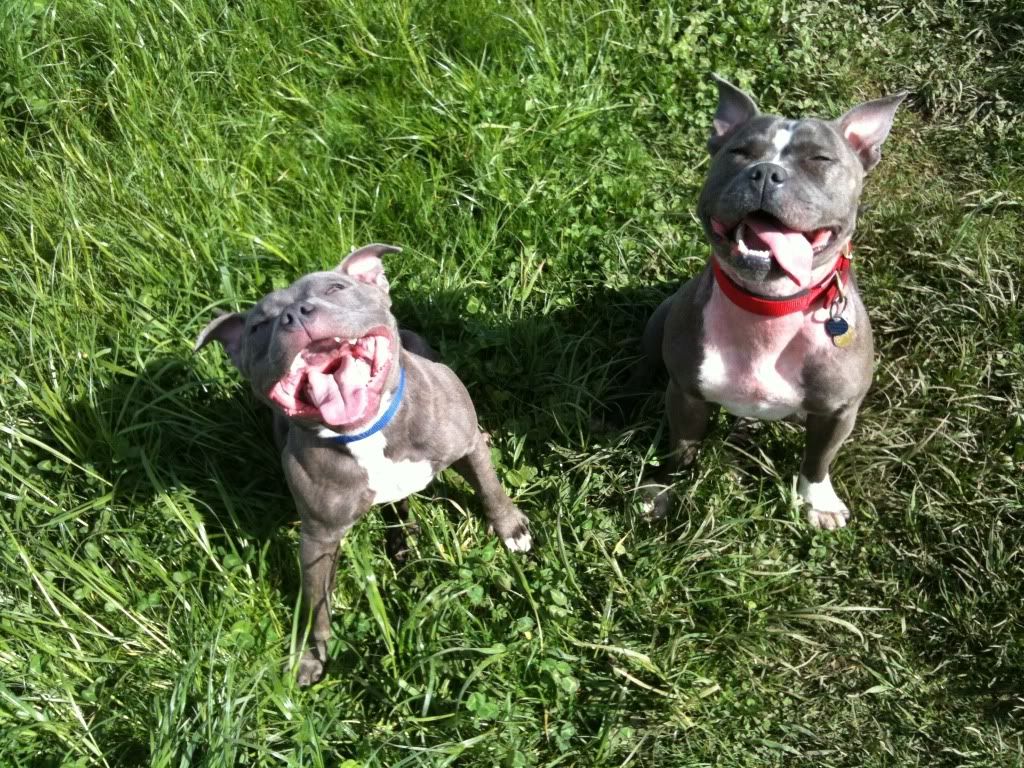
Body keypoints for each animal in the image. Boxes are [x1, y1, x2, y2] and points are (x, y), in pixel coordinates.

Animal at [197, 243, 536, 688]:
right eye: (258, 327)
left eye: (336, 288)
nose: (295, 314)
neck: (367, 432)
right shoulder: (318, 537)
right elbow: (315, 604)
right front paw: (310, 655)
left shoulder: (466, 445)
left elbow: (490, 487)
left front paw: (512, 529)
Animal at [643, 76, 909, 528]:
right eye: (740, 152)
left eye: (820, 159)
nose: (766, 172)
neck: (769, 308)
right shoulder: (686, 395)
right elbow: (681, 449)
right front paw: (663, 489)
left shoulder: (838, 412)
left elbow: (818, 460)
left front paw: (818, 501)